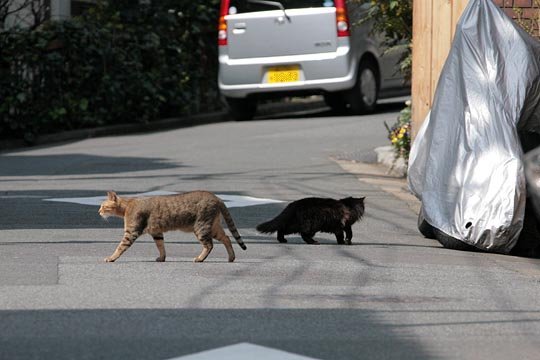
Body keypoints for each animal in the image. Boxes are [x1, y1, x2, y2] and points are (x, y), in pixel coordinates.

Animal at [98, 190, 246, 262]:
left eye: (103, 206)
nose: (98, 212)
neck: (127, 206)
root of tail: (216, 197)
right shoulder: (157, 232)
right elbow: (161, 246)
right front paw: (162, 258)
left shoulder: (131, 232)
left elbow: (119, 247)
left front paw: (111, 258)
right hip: (213, 227)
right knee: (227, 238)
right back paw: (231, 258)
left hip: (201, 227)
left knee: (209, 245)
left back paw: (200, 258)